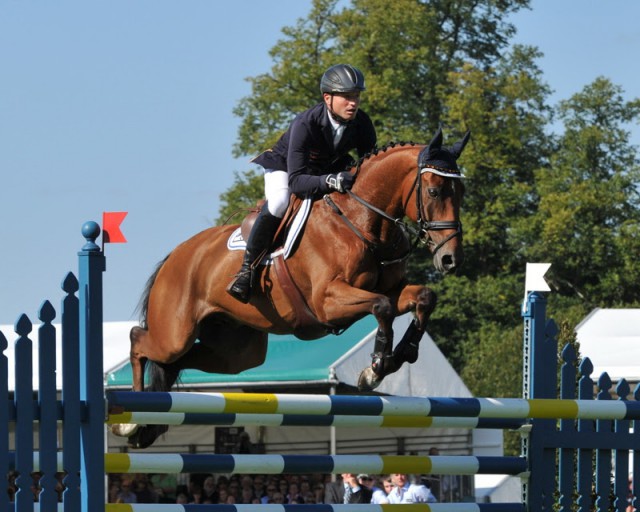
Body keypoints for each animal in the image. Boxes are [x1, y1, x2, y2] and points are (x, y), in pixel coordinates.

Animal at [111, 128, 469, 448]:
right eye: (434, 192)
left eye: (461, 193)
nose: (450, 259)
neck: (362, 221)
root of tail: (175, 255)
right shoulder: (328, 302)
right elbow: (380, 305)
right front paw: (377, 367)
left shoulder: (394, 290)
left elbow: (423, 297)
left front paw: (402, 354)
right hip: (176, 333)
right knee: (140, 341)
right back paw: (129, 422)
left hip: (237, 351)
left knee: (180, 362)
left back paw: (143, 422)